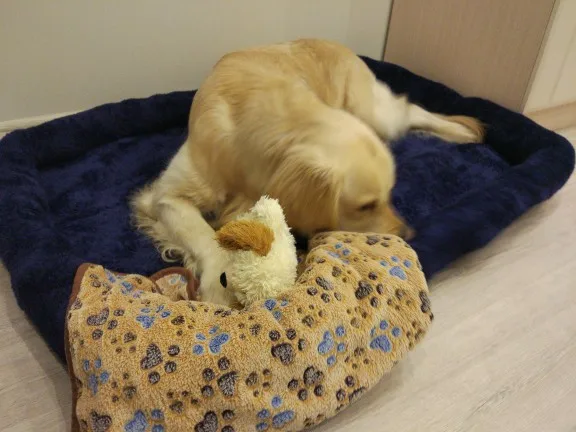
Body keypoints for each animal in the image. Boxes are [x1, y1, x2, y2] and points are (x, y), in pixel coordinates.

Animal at [132, 39, 483, 306]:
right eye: (366, 206)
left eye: (389, 195)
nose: (408, 235)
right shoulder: (165, 196)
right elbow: (205, 237)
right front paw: (219, 287)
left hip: (374, 114)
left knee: (410, 109)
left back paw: (462, 131)